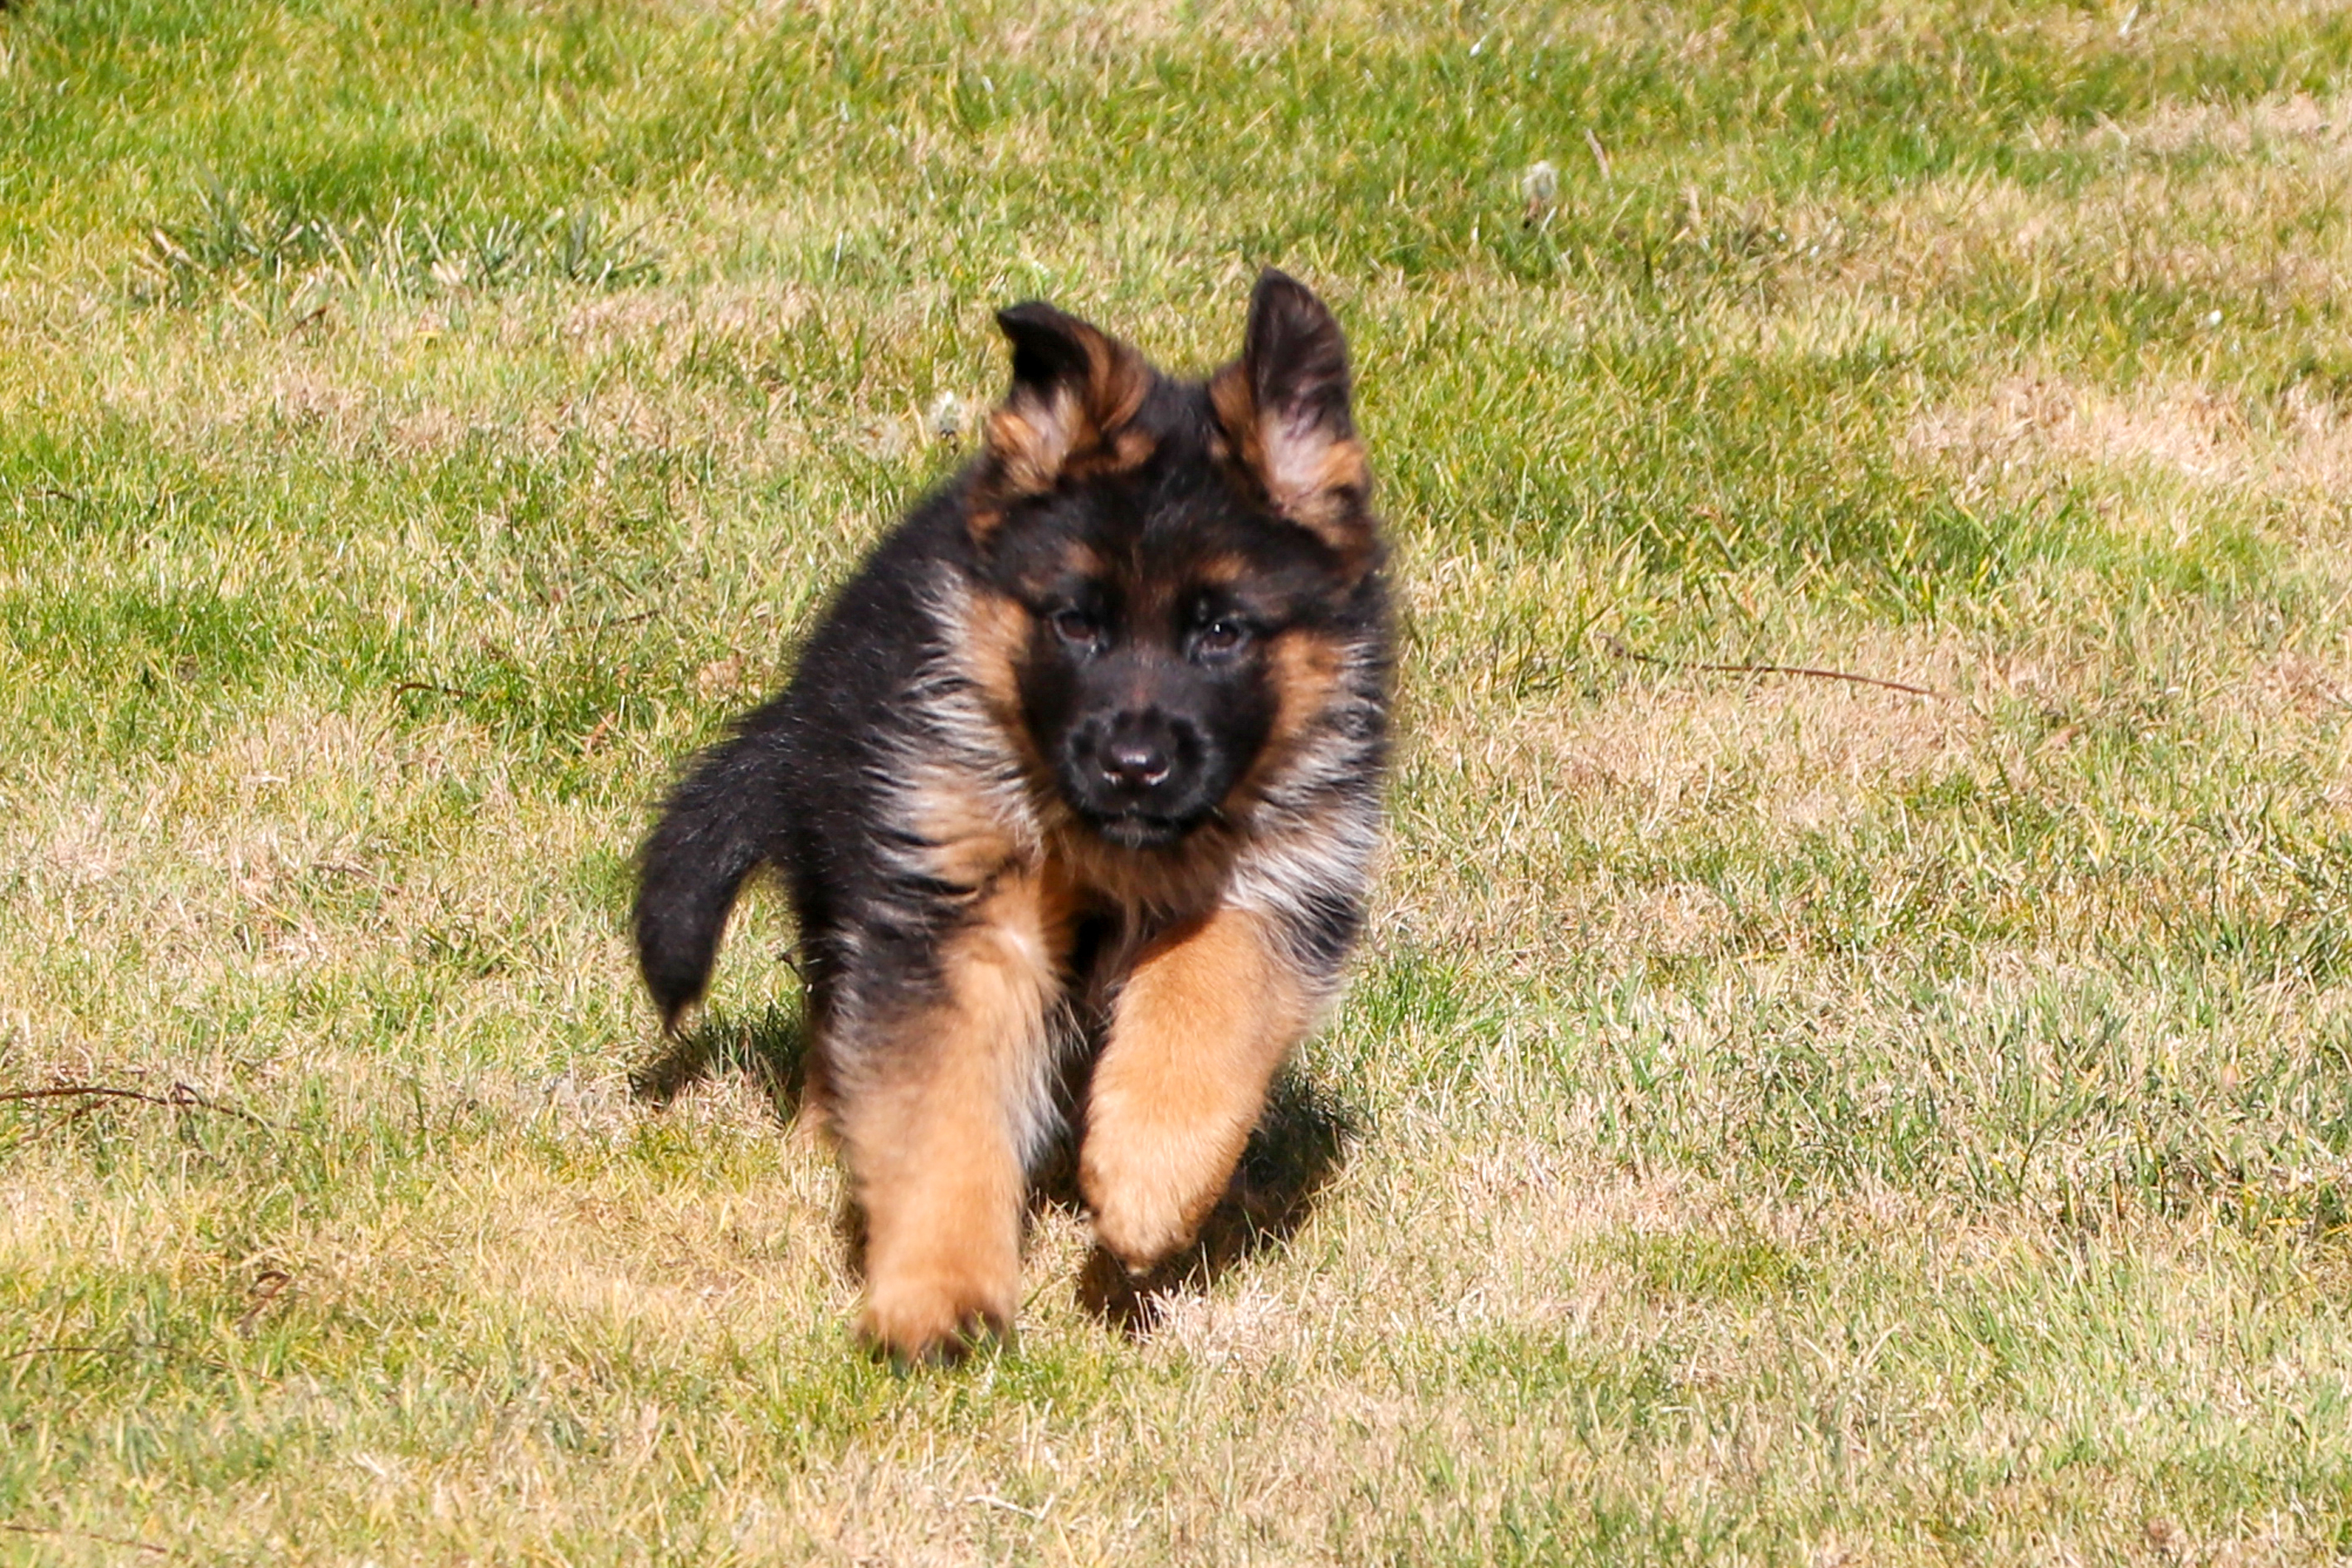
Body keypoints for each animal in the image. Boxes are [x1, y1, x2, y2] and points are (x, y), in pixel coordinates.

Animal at [633, 269, 1392, 1362]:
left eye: (1220, 631)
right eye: (1075, 623)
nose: (1133, 767)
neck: (1111, 848)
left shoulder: (1282, 881)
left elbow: (1210, 1002)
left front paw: (1150, 1182)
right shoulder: (961, 912)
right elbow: (941, 1106)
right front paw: (939, 1298)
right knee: (836, 1011)